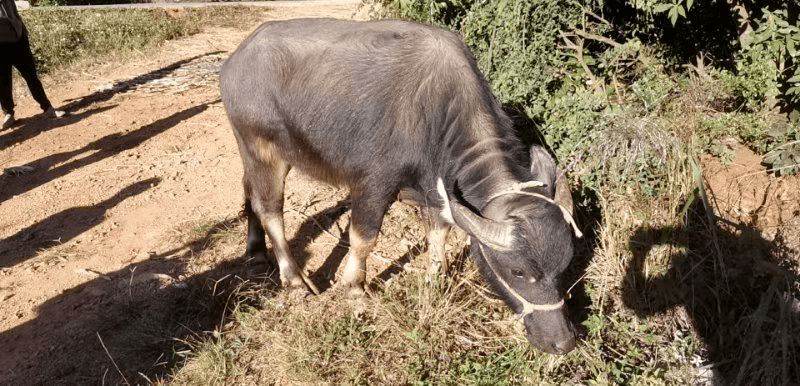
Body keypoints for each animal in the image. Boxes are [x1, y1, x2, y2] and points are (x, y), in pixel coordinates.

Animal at [219, 19, 580, 354]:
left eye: (564, 266)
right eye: (518, 271)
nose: (563, 343)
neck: (436, 113)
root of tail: (235, 61)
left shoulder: (435, 193)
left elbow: (438, 235)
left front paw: (436, 279)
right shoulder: (373, 185)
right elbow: (364, 239)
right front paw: (355, 290)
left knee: (248, 190)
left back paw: (255, 252)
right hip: (262, 149)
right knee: (270, 209)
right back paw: (294, 280)